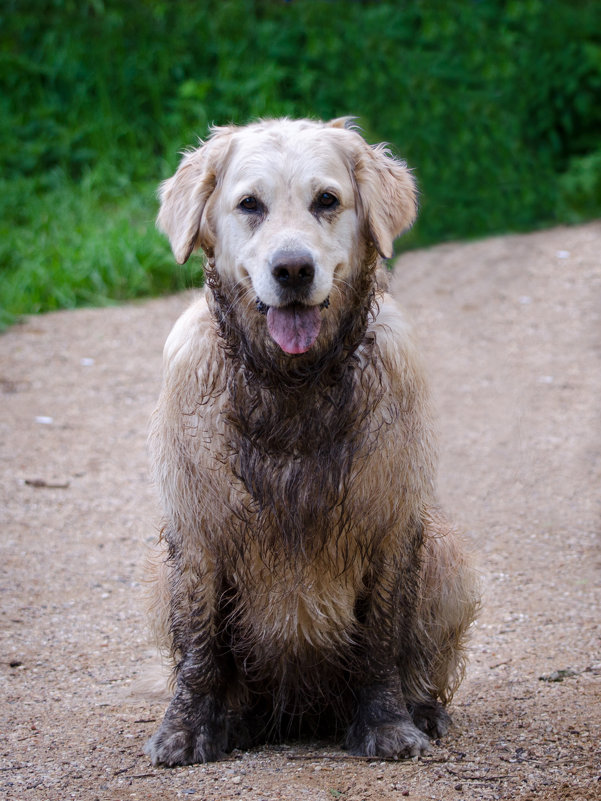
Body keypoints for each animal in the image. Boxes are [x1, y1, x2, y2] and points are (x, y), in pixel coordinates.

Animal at [142, 117, 478, 764]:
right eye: (250, 204)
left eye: (326, 200)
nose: (293, 269)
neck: (290, 385)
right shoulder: (196, 529)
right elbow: (198, 645)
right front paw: (188, 729)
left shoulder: (390, 521)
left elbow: (380, 639)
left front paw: (388, 724)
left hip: (449, 557)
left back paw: (424, 710)